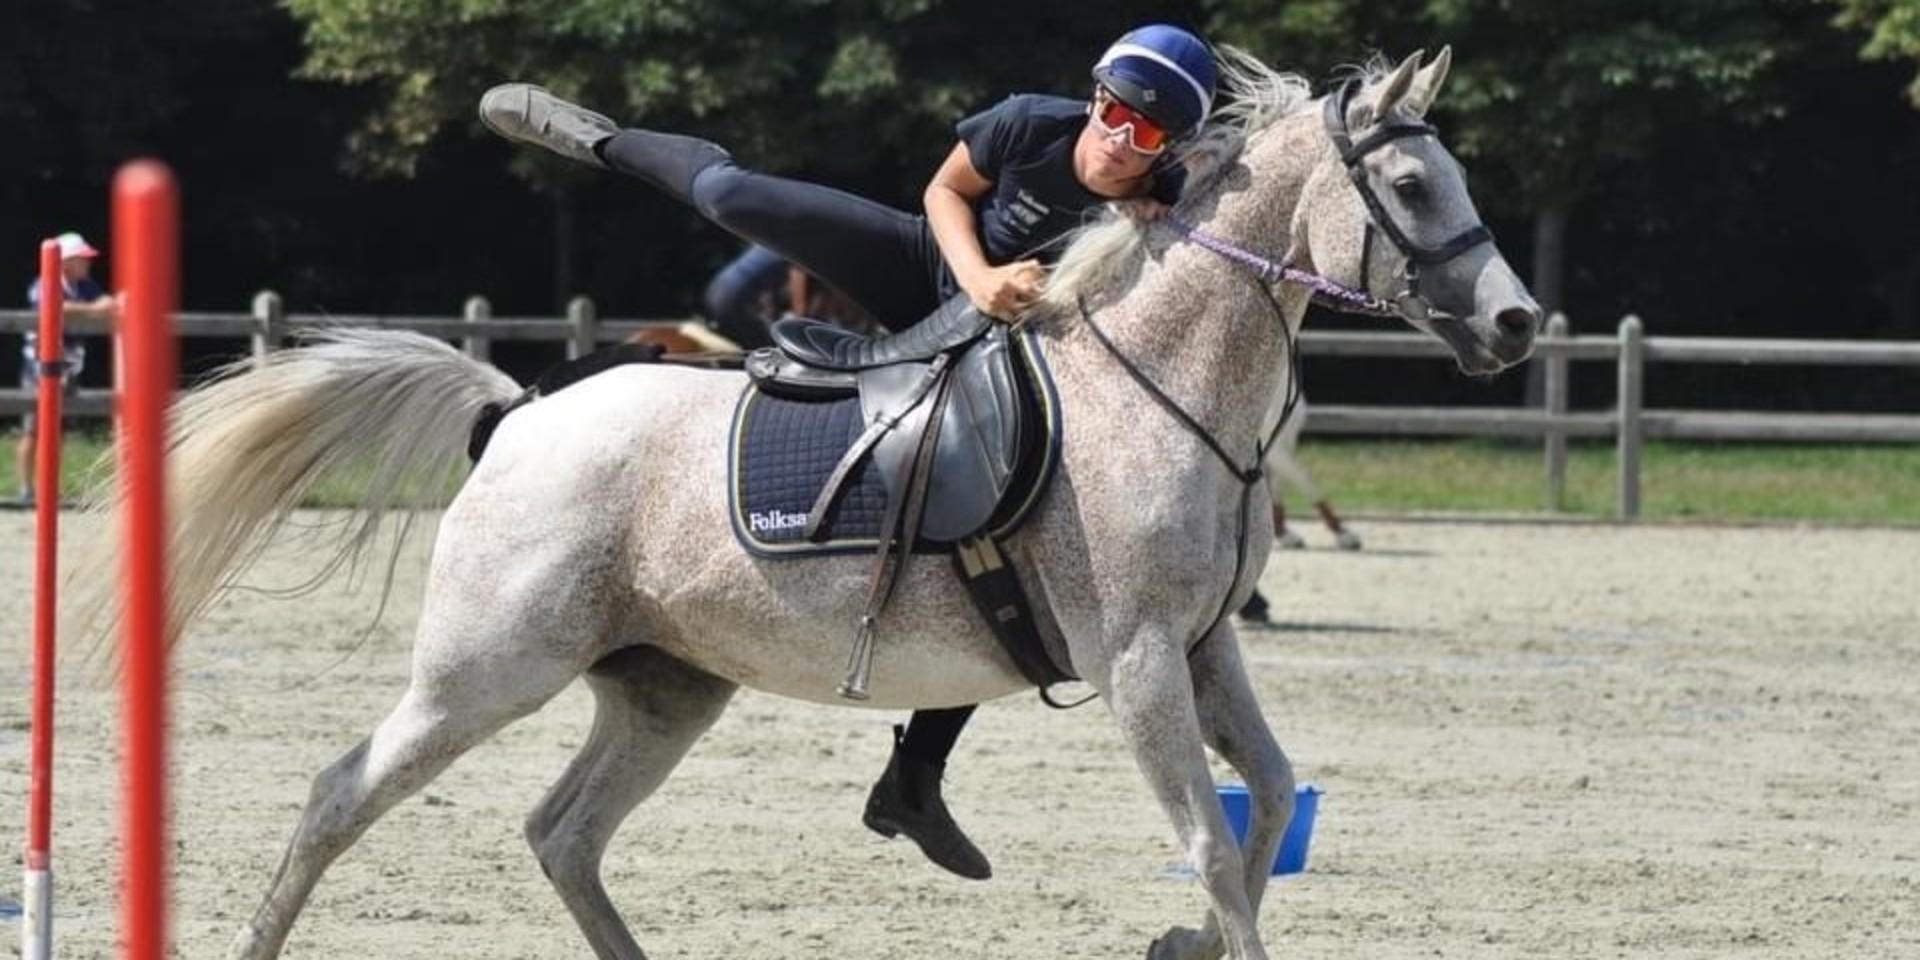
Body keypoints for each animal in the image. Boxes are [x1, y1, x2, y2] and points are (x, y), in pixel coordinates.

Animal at [74, 46, 1536, 960]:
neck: (1158, 380)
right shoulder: (1135, 662)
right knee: (344, 794)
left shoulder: (1199, 645)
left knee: (563, 834)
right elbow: (1217, 844)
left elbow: (1267, 807)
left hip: (664, 685)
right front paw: (1191, 925)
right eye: (1413, 186)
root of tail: (522, 413)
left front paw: (1177, 936)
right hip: (489, 666)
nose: (1519, 325)